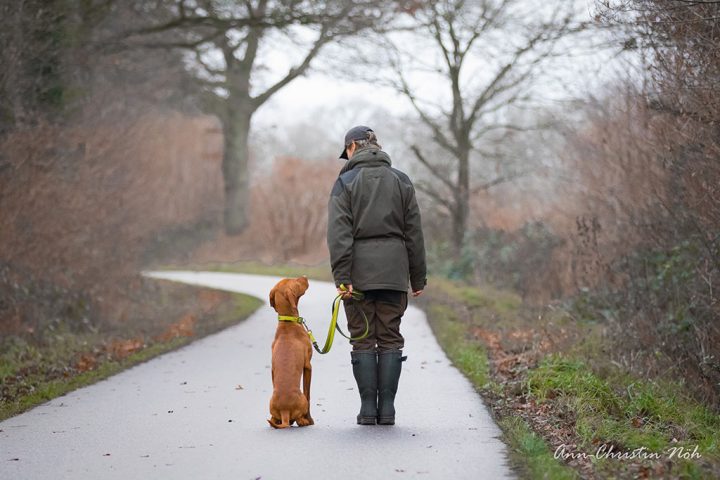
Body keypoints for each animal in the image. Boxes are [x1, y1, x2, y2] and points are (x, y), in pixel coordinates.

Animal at [266, 276, 314, 430]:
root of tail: (284, 411)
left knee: (273, 420)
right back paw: (304, 421)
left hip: (271, 404)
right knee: (299, 416)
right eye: (295, 282)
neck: (288, 322)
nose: (305, 276)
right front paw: (310, 419)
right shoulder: (308, 366)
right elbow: (308, 393)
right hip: (301, 400)